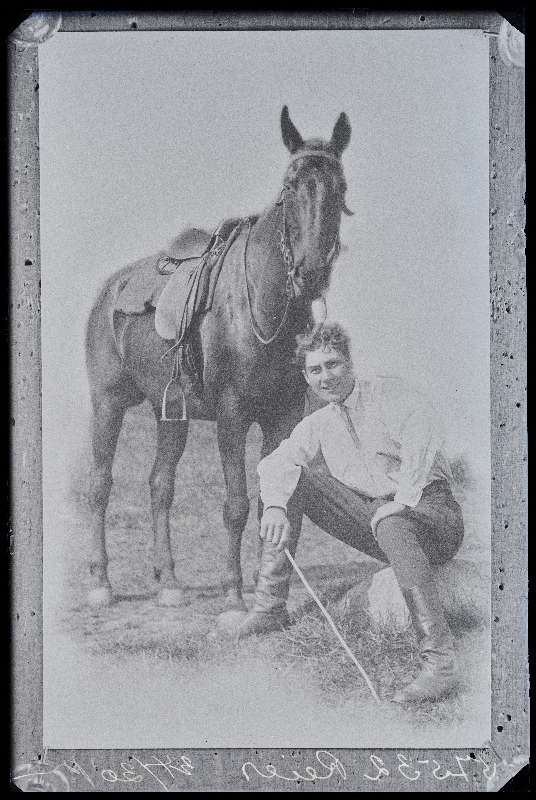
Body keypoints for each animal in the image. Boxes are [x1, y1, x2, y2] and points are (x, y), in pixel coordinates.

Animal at [85, 104, 352, 608]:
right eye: (290, 186)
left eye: (340, 187)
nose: (310, 272)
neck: (263, 303)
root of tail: (110, 289)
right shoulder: (232, 415)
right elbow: (236, 505)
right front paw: (233, 594)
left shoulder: (283, 417)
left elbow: (276, 506)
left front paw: (272, 598)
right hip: (107, 403)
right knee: (99, 484)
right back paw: (101, 583)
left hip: (170, 413)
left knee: (160, 485)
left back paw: (169, 582)